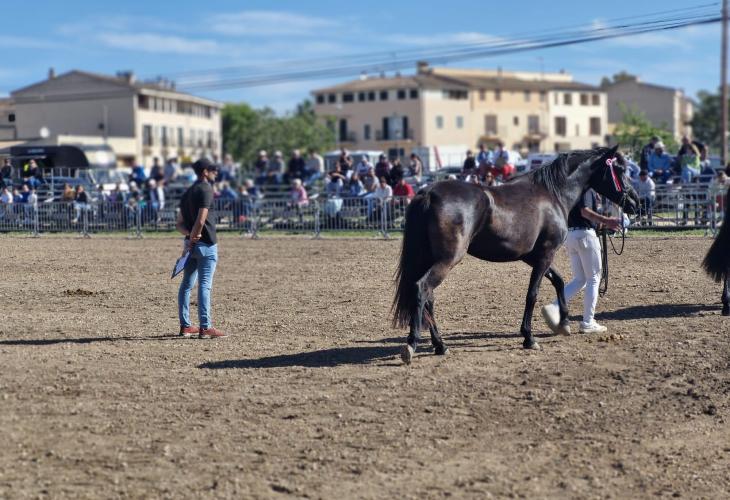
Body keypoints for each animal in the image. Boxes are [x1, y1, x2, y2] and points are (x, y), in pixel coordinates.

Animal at [392, 146, 636, 364]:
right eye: (620, 169)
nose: (634, 201)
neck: (552, 193)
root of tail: (428, 193)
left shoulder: (532, 256)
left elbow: (558, 280)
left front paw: (563, 322)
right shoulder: (546, 254)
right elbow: (532, 294)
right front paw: (529, 338)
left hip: (429, 259)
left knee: (429, 297)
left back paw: (440, 345)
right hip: (447, 259)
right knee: (422, 288)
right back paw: (412, 344)